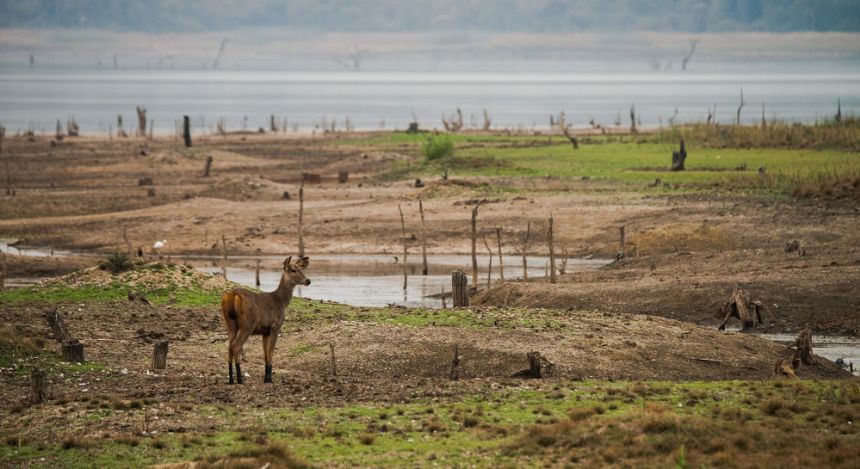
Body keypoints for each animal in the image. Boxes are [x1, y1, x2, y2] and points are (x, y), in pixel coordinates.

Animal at [222, 256, 312, 384]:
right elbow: (271, 351)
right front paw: (269, 378)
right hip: (247, 325)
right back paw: (240, 379)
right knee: (236, 346)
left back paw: (230, 379)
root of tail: (233, 295)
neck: (280, 302)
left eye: (301, 269)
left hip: (230, 324)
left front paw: (266, 377)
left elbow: (265, 353)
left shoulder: (264, 331)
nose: (308, 280)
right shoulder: (275, 326)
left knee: (229, 346)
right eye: (293, 270)